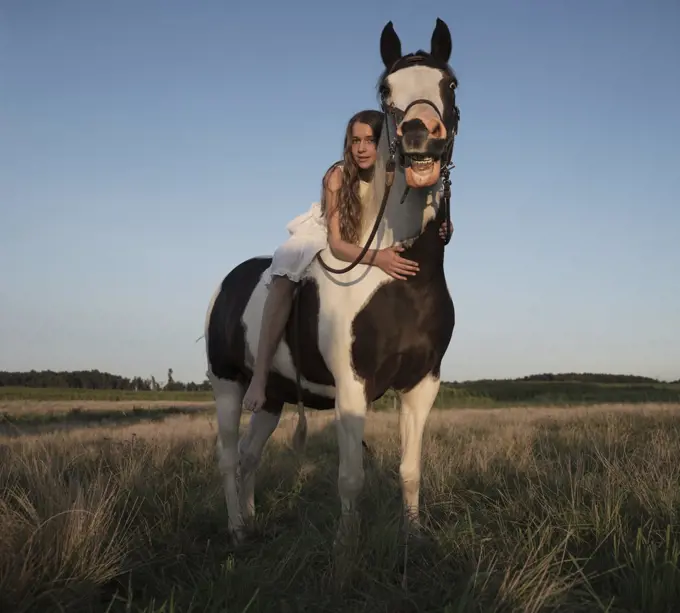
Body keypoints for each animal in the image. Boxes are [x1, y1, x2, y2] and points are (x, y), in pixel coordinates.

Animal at [202, 19, 456, 544]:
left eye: (450, 84)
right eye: (386, 90)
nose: (421, 137)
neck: (400, 282)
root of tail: (229, 282)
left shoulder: (422, 385)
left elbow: (410, 470)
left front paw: (414, 537)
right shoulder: (353, 389)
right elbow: (351, 478)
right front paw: (346, 549)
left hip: (272, 399)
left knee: (250, 456)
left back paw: (252, 522)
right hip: (227, 387)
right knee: (229, 457)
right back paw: (236, 529)